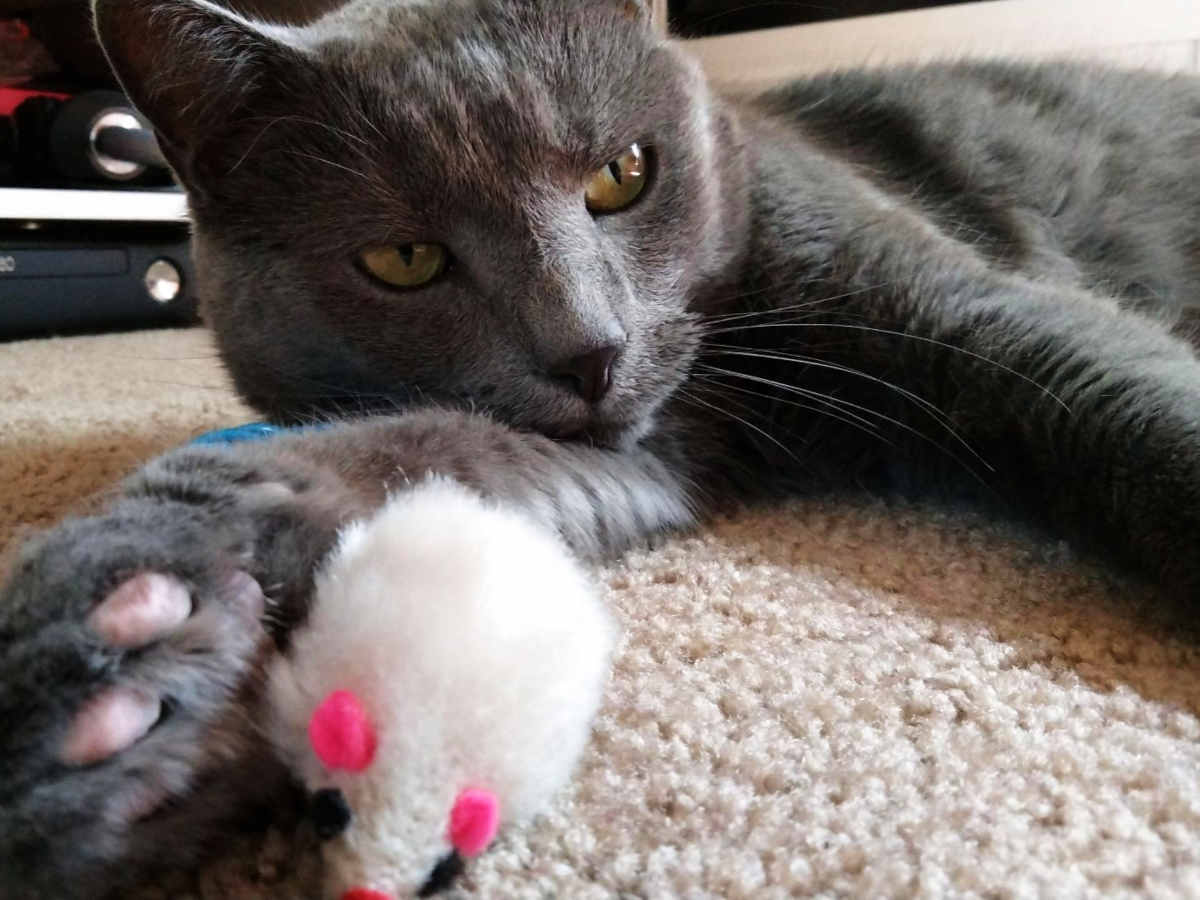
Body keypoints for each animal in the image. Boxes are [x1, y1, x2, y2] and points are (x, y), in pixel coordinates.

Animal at [2, 0, 1200, 896]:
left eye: (625, 173)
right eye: (402, 259)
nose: (590, 349)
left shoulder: (961, 308)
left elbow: (1111, 386)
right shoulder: (641, 451)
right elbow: (400, 457)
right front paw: (129, 650)